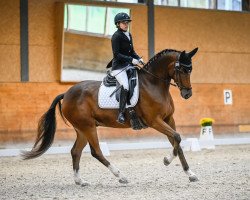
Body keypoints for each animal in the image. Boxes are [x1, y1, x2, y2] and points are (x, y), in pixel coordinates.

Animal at [22, 47, 198, 185]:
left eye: (191, 70)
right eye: (182, 70)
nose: (188, 94)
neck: (153, 84)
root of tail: (66, 93)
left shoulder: (169, 119)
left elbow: (177, 141)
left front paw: (190, 174)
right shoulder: (155, 121)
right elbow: (177, 137)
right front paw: (167, 160)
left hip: (82, 129)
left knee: (75, 151)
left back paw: (80, 181)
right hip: (88, 127)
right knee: (96, 152)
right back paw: (121, 176)